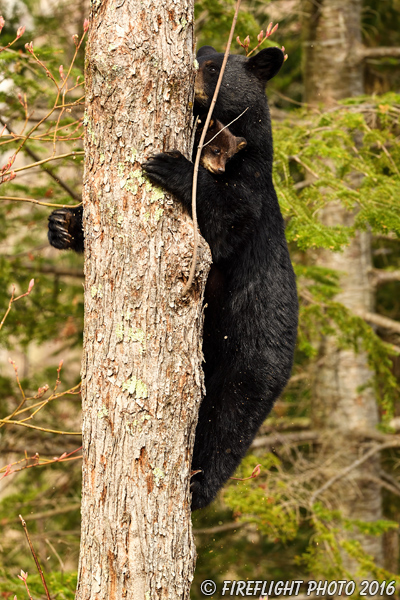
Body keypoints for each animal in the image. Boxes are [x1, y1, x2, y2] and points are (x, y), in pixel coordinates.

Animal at [143, 44, 296, 508]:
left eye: (211, 67)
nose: (190, 72)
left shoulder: (252, 180)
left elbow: (228, 220)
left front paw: (170, 165)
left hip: (249, 362)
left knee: (228, 426)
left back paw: (198, 485)